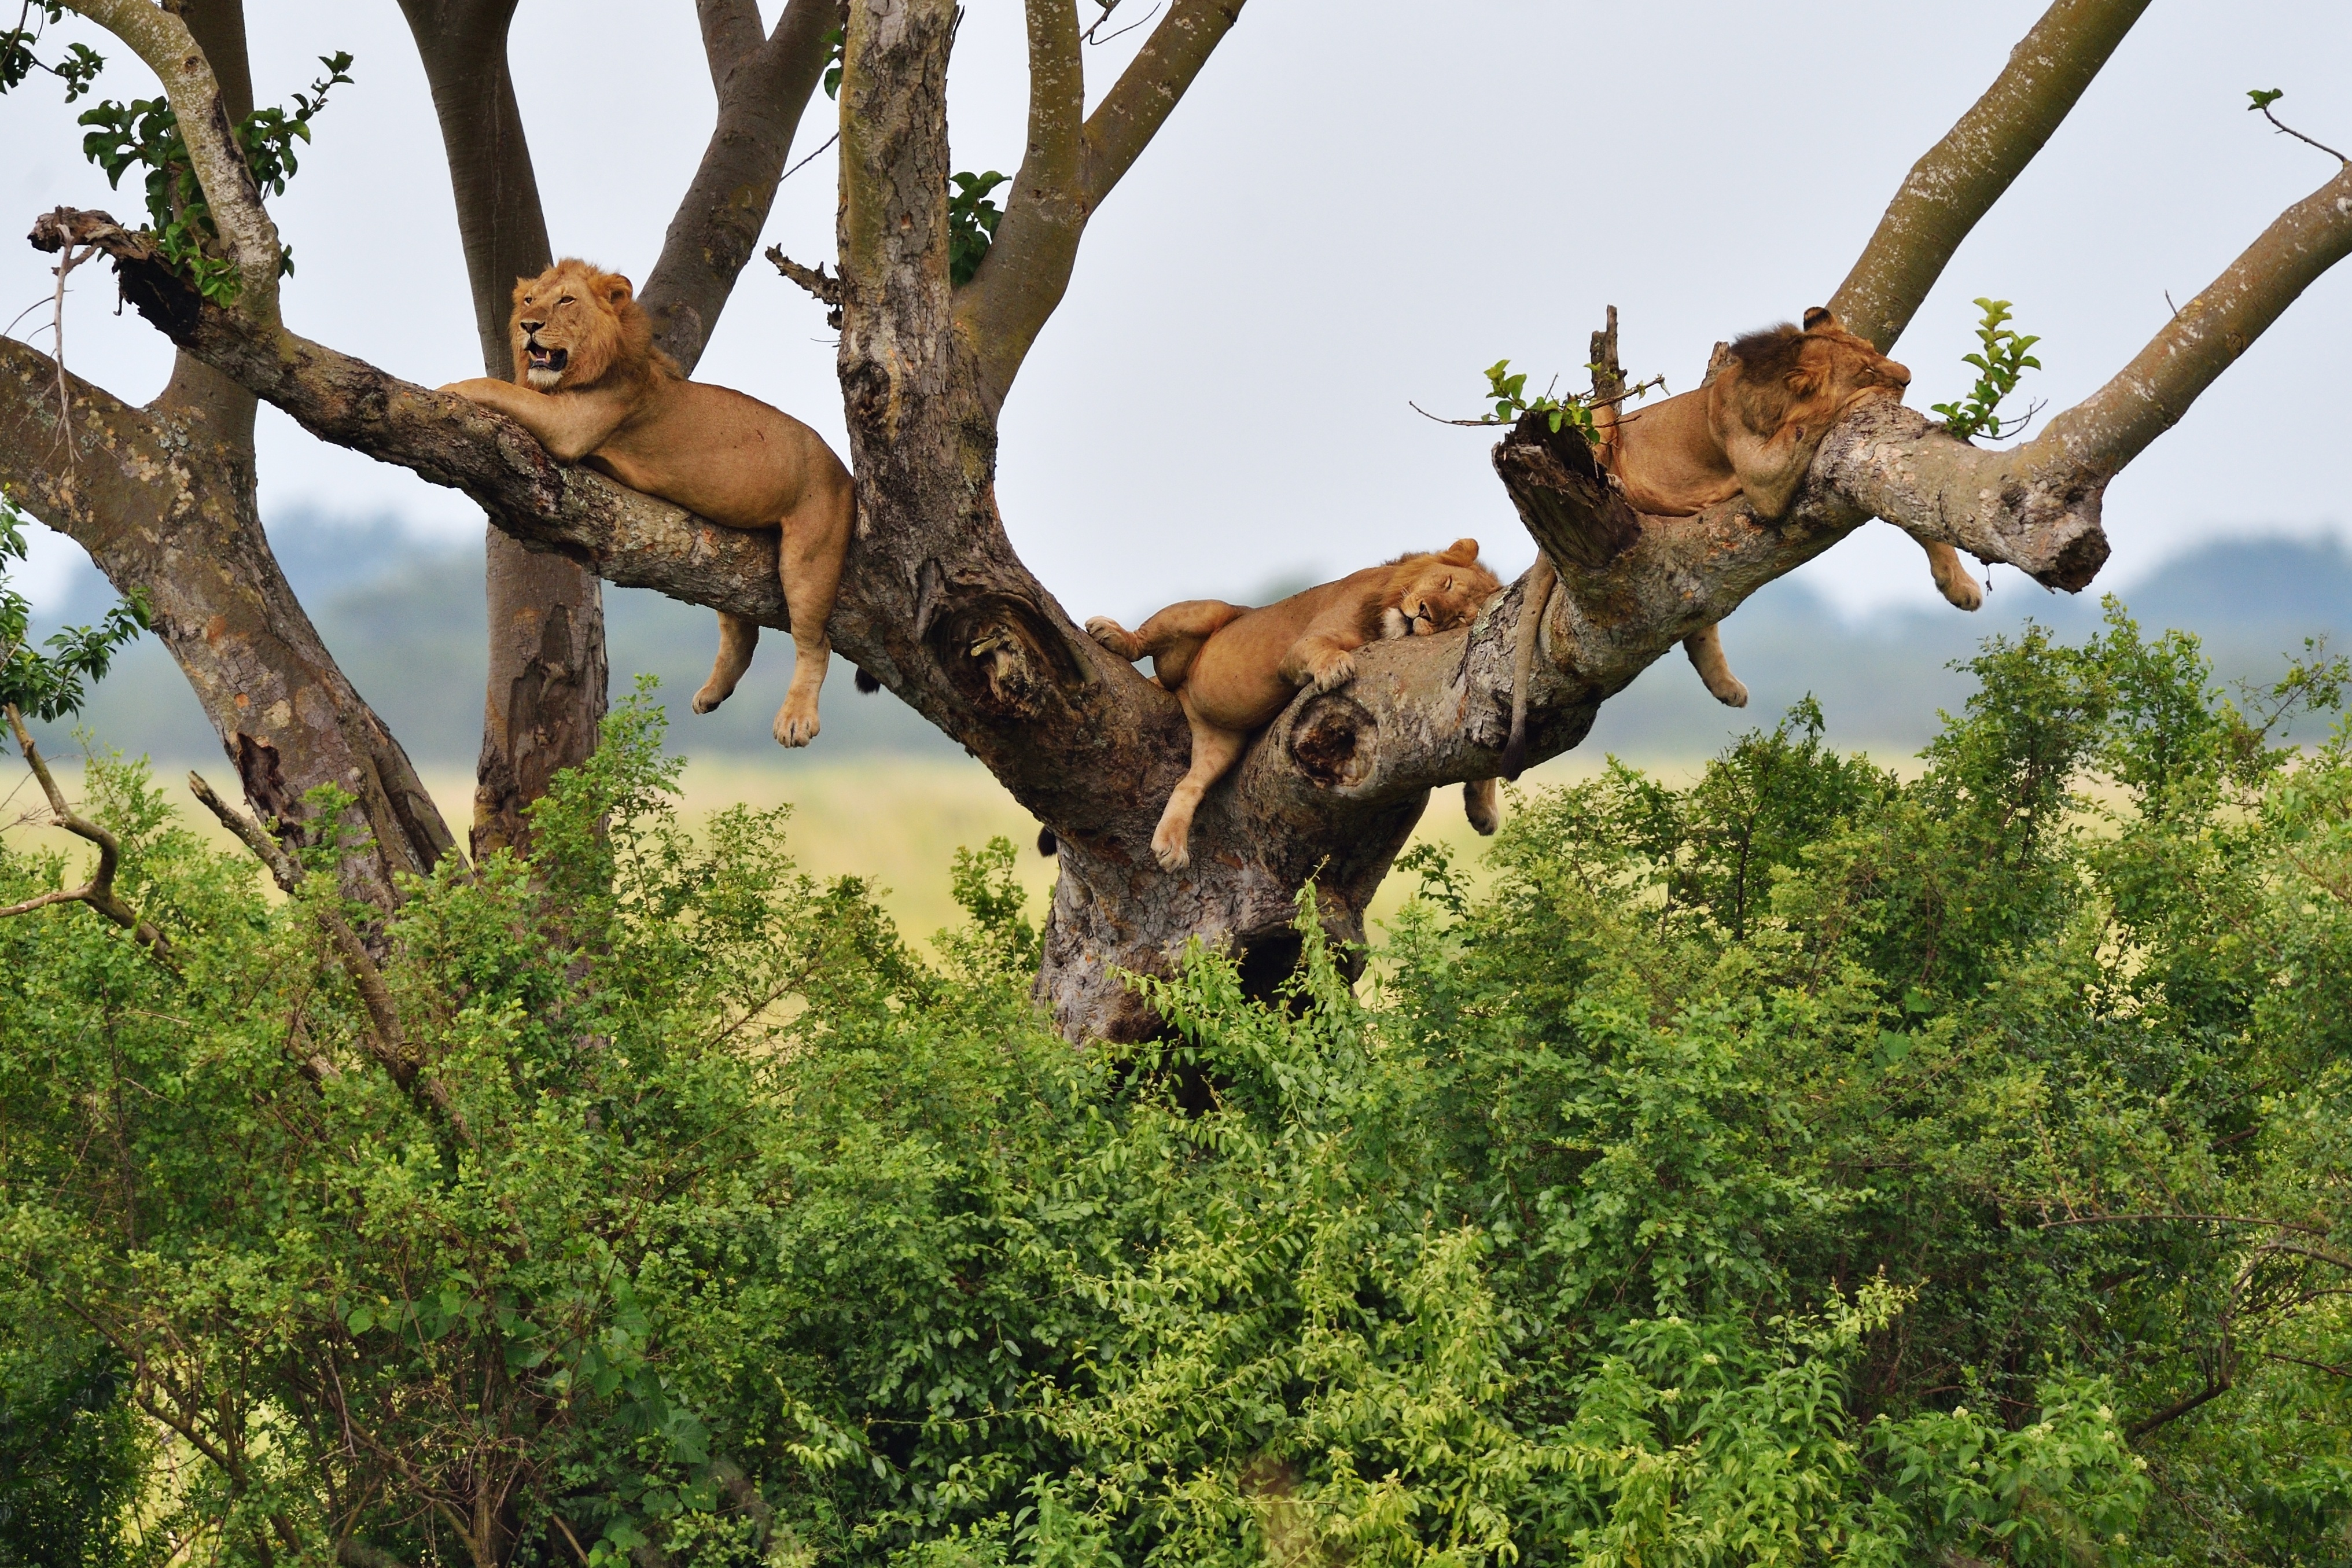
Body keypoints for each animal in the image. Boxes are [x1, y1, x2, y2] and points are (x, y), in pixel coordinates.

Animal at [439, 259, 855, 747]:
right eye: (528, 300)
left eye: (566, 300)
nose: (529, 326)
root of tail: (845, 472)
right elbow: (508, 387)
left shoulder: (570, 425)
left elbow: (501, 388)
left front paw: (450, 386)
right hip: (733, 552)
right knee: (741, 630)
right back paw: (712, 694)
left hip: (810, 555)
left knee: (814, 642)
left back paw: (795, 719)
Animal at [1088, 540, 1505, 871]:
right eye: (1445, 582)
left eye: (1459, 617)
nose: (1424, 612)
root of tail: (1183, 691)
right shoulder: (1301, 647)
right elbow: (1320, 648)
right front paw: (1335, 667)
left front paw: (1483, 808)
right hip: (1207, 613)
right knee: (1146, 638)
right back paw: (1112, 634)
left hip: (1221, 741)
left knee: (1189, 783)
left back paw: (1171, 847)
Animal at [1502, 307, 1980, 778]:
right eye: (1864, 368)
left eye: (1873, 350)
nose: (1906, 376)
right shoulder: (1760, 479)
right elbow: (1809, 422)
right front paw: (1858, 400)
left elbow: (1915, 519)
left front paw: (1959, 587)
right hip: (1600, 438)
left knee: (1697, 622)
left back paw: (1727, 688)